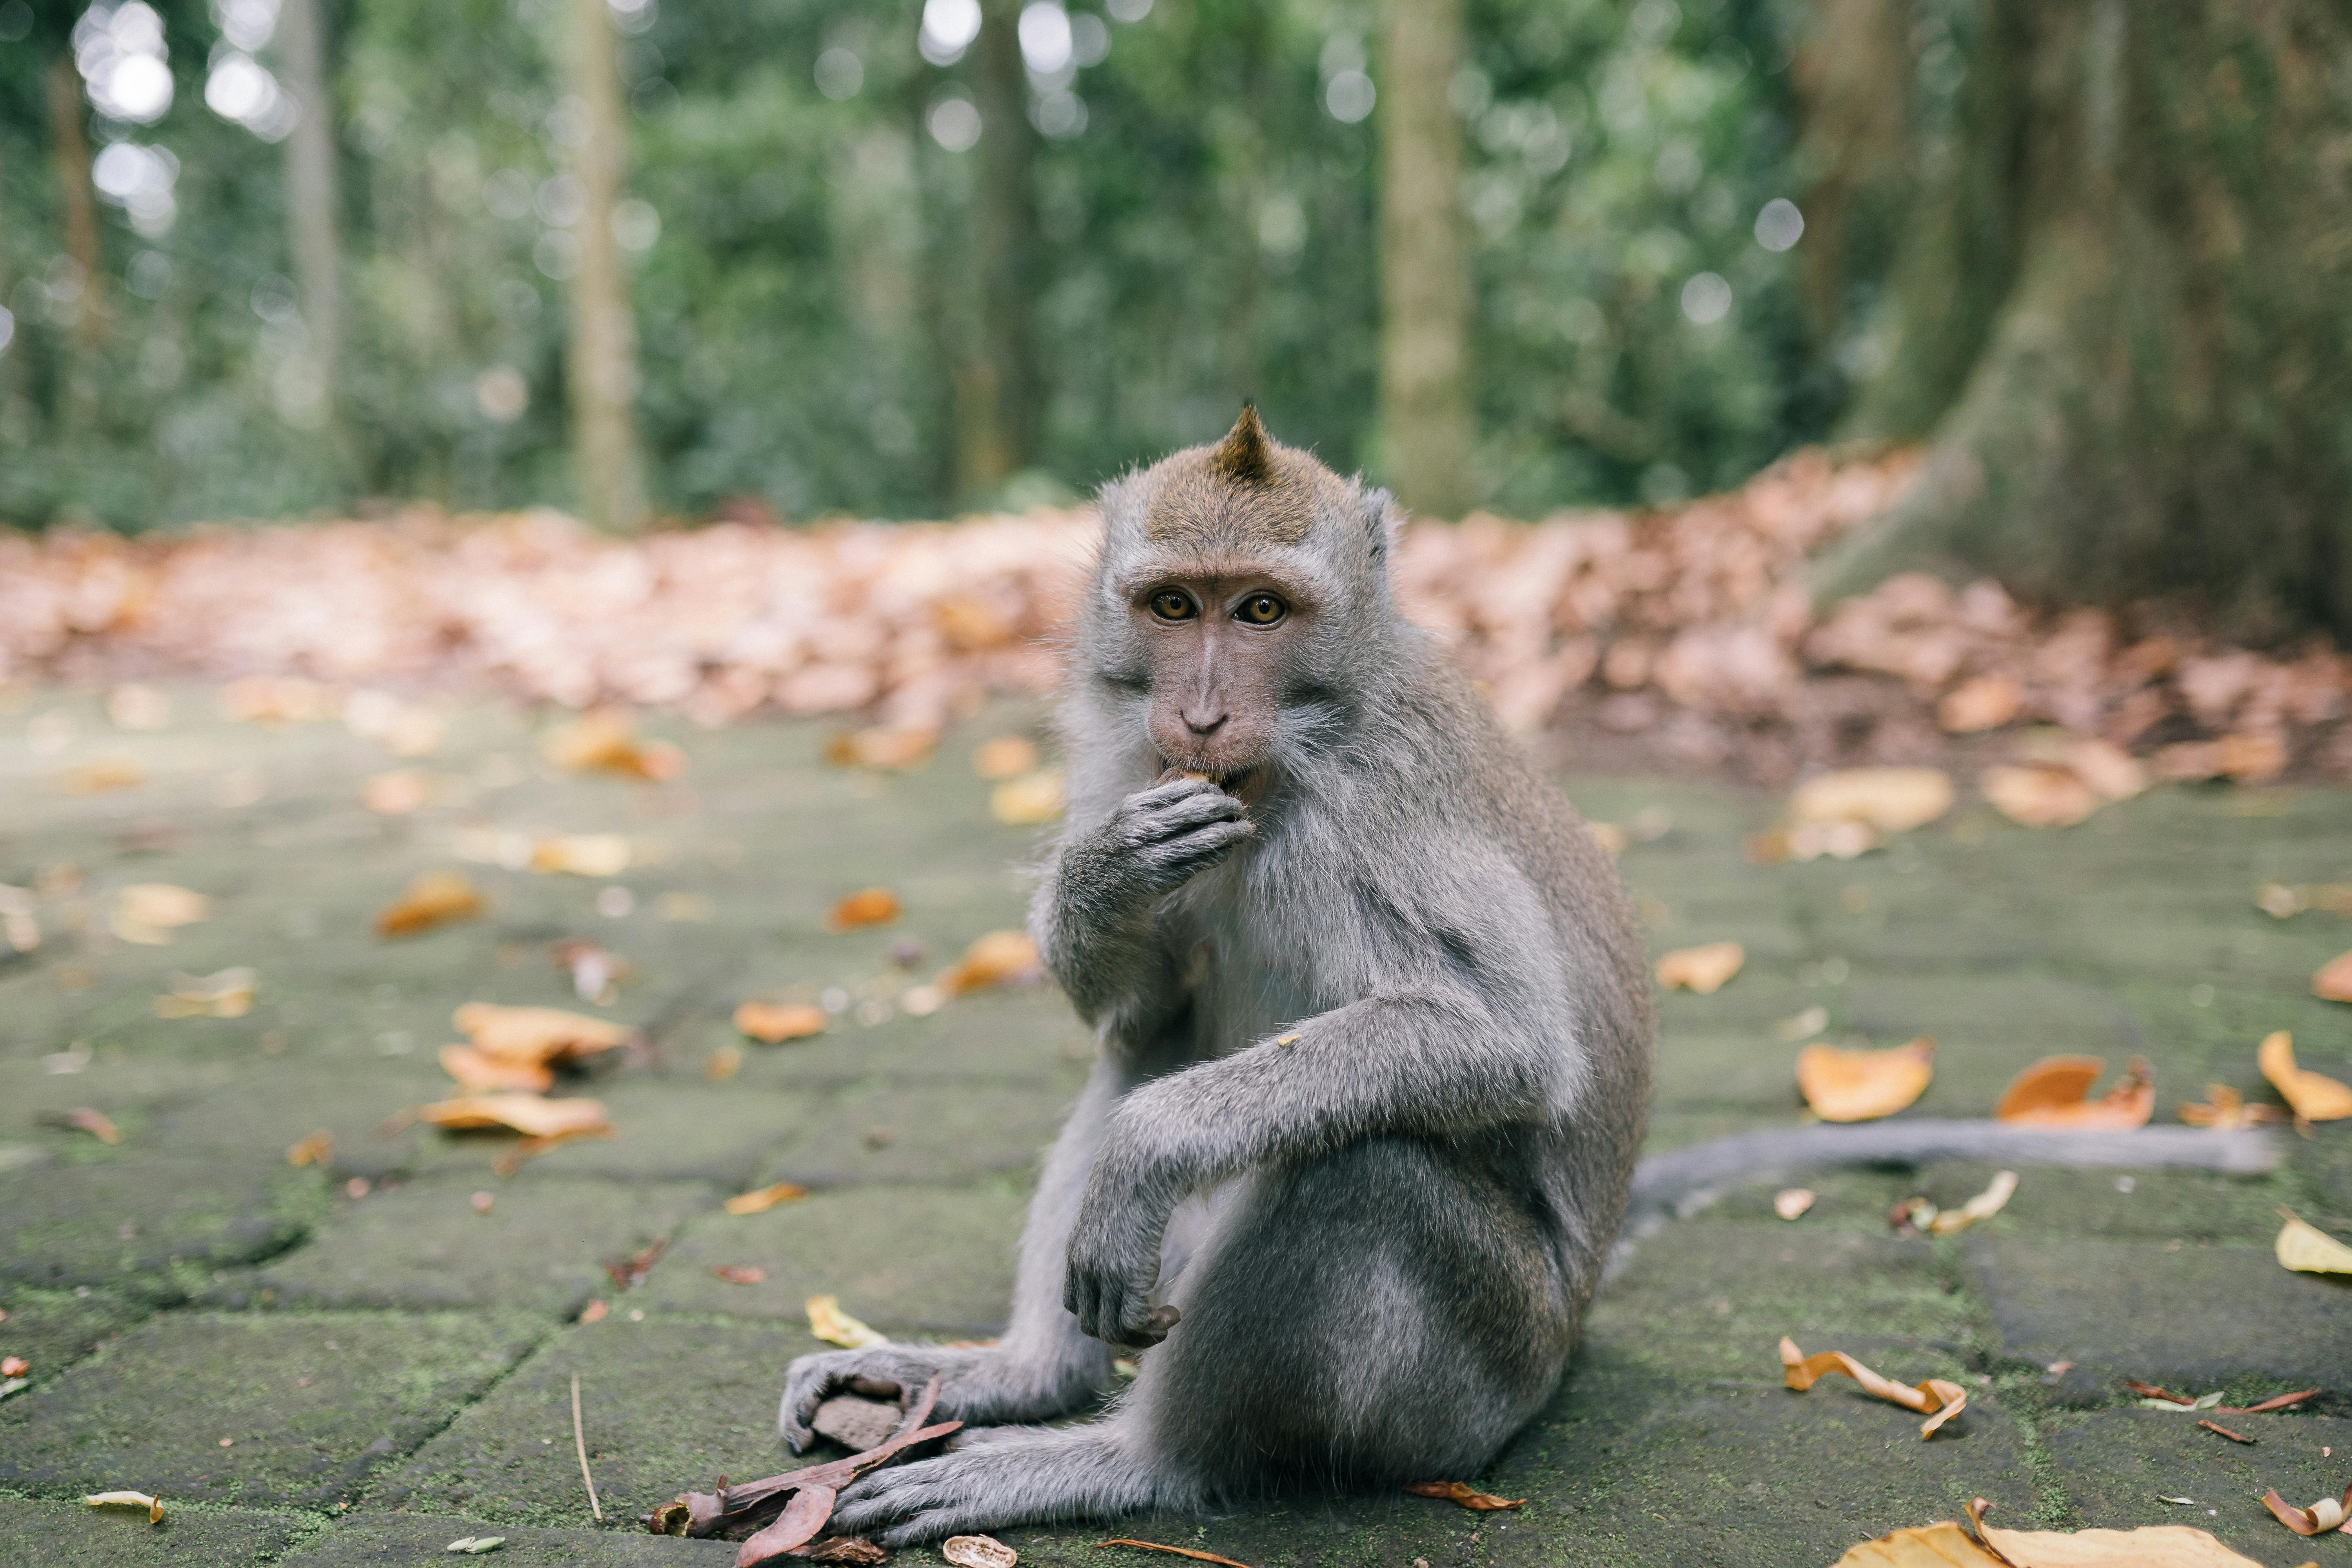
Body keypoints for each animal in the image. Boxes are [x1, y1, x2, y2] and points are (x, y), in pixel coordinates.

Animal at [779, 405, 1657, 1542]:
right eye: (1172, 605)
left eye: (1262, 610)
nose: (1197, 717)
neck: (1288, 762)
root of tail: (1567, 1340)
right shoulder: (1140, 770)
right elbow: (1144, 1015)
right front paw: (1103, 874)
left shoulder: (1373, 814)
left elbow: (1506, 1037)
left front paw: (1149, 1146)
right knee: (1154, 1055)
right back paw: (1021, 1380)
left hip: (1476, 1380)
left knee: (1366, 1163)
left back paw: (1125, 1459)